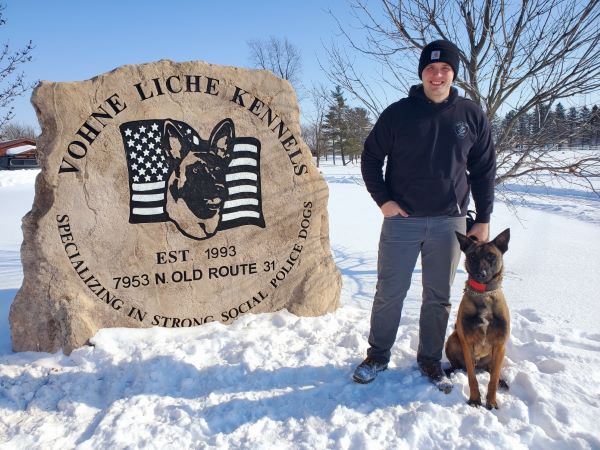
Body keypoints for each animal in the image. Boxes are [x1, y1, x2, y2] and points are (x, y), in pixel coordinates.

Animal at [446, 230, 510, 410]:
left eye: (491, 256)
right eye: (473, 256)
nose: (481, 274)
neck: (484, 295)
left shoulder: (500, 344)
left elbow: (492, 380)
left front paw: (492, 401)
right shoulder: (467, 344)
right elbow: (472, 378)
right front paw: (475, 399)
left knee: (492, 371)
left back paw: (502, 381)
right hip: (453, 339)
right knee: (458, 365)